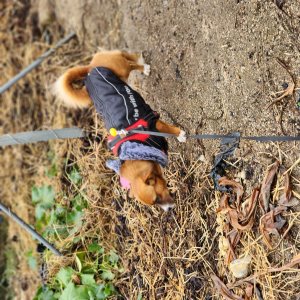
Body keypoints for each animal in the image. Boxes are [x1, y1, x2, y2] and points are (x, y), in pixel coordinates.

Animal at [54, 50, 185, 211]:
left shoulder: (156, 124)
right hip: (121, 74)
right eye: (155, 202)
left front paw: (181, 135)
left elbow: (171, 130)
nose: (169, 210)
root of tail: (90, 68)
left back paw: (143, 66)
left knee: (129, 60)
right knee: (127, 58)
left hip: (121, 67)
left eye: (157, 198)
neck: (137, 148)